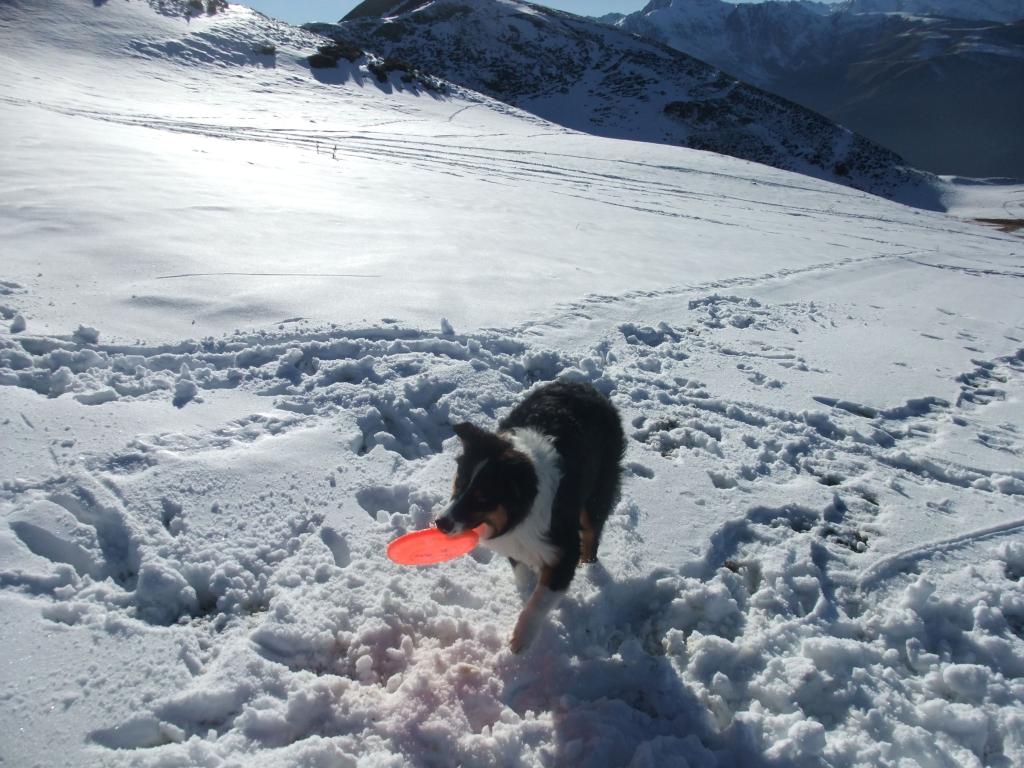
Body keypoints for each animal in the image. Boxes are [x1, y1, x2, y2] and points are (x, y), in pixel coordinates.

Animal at [432, 382, 622, 651]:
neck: (522, 512)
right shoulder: (514, 541)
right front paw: (525, 591)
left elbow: (541, 600)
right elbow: (521, 571)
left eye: (482, 498)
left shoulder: (564, 548)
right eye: (459, 483)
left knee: (592, 531)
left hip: (597, 492)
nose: (441, 523)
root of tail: (585, 385)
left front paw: (522, 638)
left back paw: (589, 567)